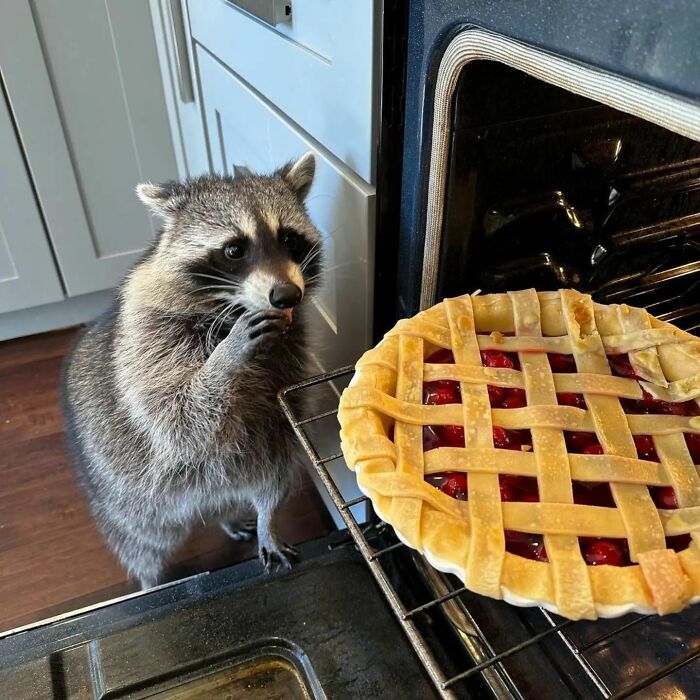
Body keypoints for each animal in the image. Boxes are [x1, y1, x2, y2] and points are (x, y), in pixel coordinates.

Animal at [61, 154, 322, 592]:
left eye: (288, 239)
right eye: (234, 250)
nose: (287, 296)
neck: (230, 305)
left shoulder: (291, 355)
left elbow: (282, 442)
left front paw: (270, 519)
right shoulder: (147, 341)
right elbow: (176, 417)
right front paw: (225, 359)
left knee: (264, 475)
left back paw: (242, 516)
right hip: (122, 498)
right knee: (142, 543)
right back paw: (151, 581)